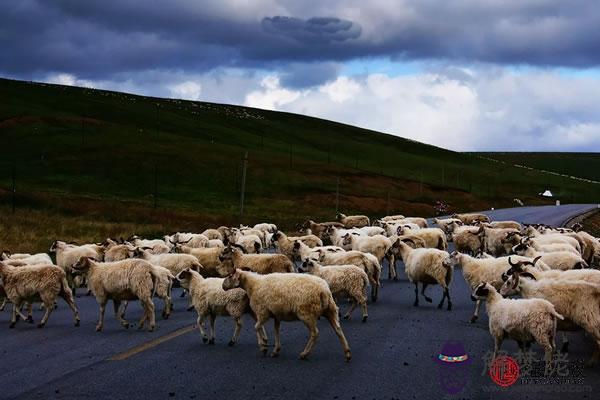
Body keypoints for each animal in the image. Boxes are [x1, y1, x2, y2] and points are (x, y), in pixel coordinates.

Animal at [221, 268, 352, 360]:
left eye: (230, 276)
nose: (223, 286)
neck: (253, 285)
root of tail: (324, 291)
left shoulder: (262, 312)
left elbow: (256, 327)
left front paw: (263, 346)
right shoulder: (276, 315)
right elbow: (276, 330)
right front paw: (275, 350)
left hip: (306, 313)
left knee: (315, 333)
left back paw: (304, 354)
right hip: (330, 310)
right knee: (338, 330)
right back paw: (347, 353)